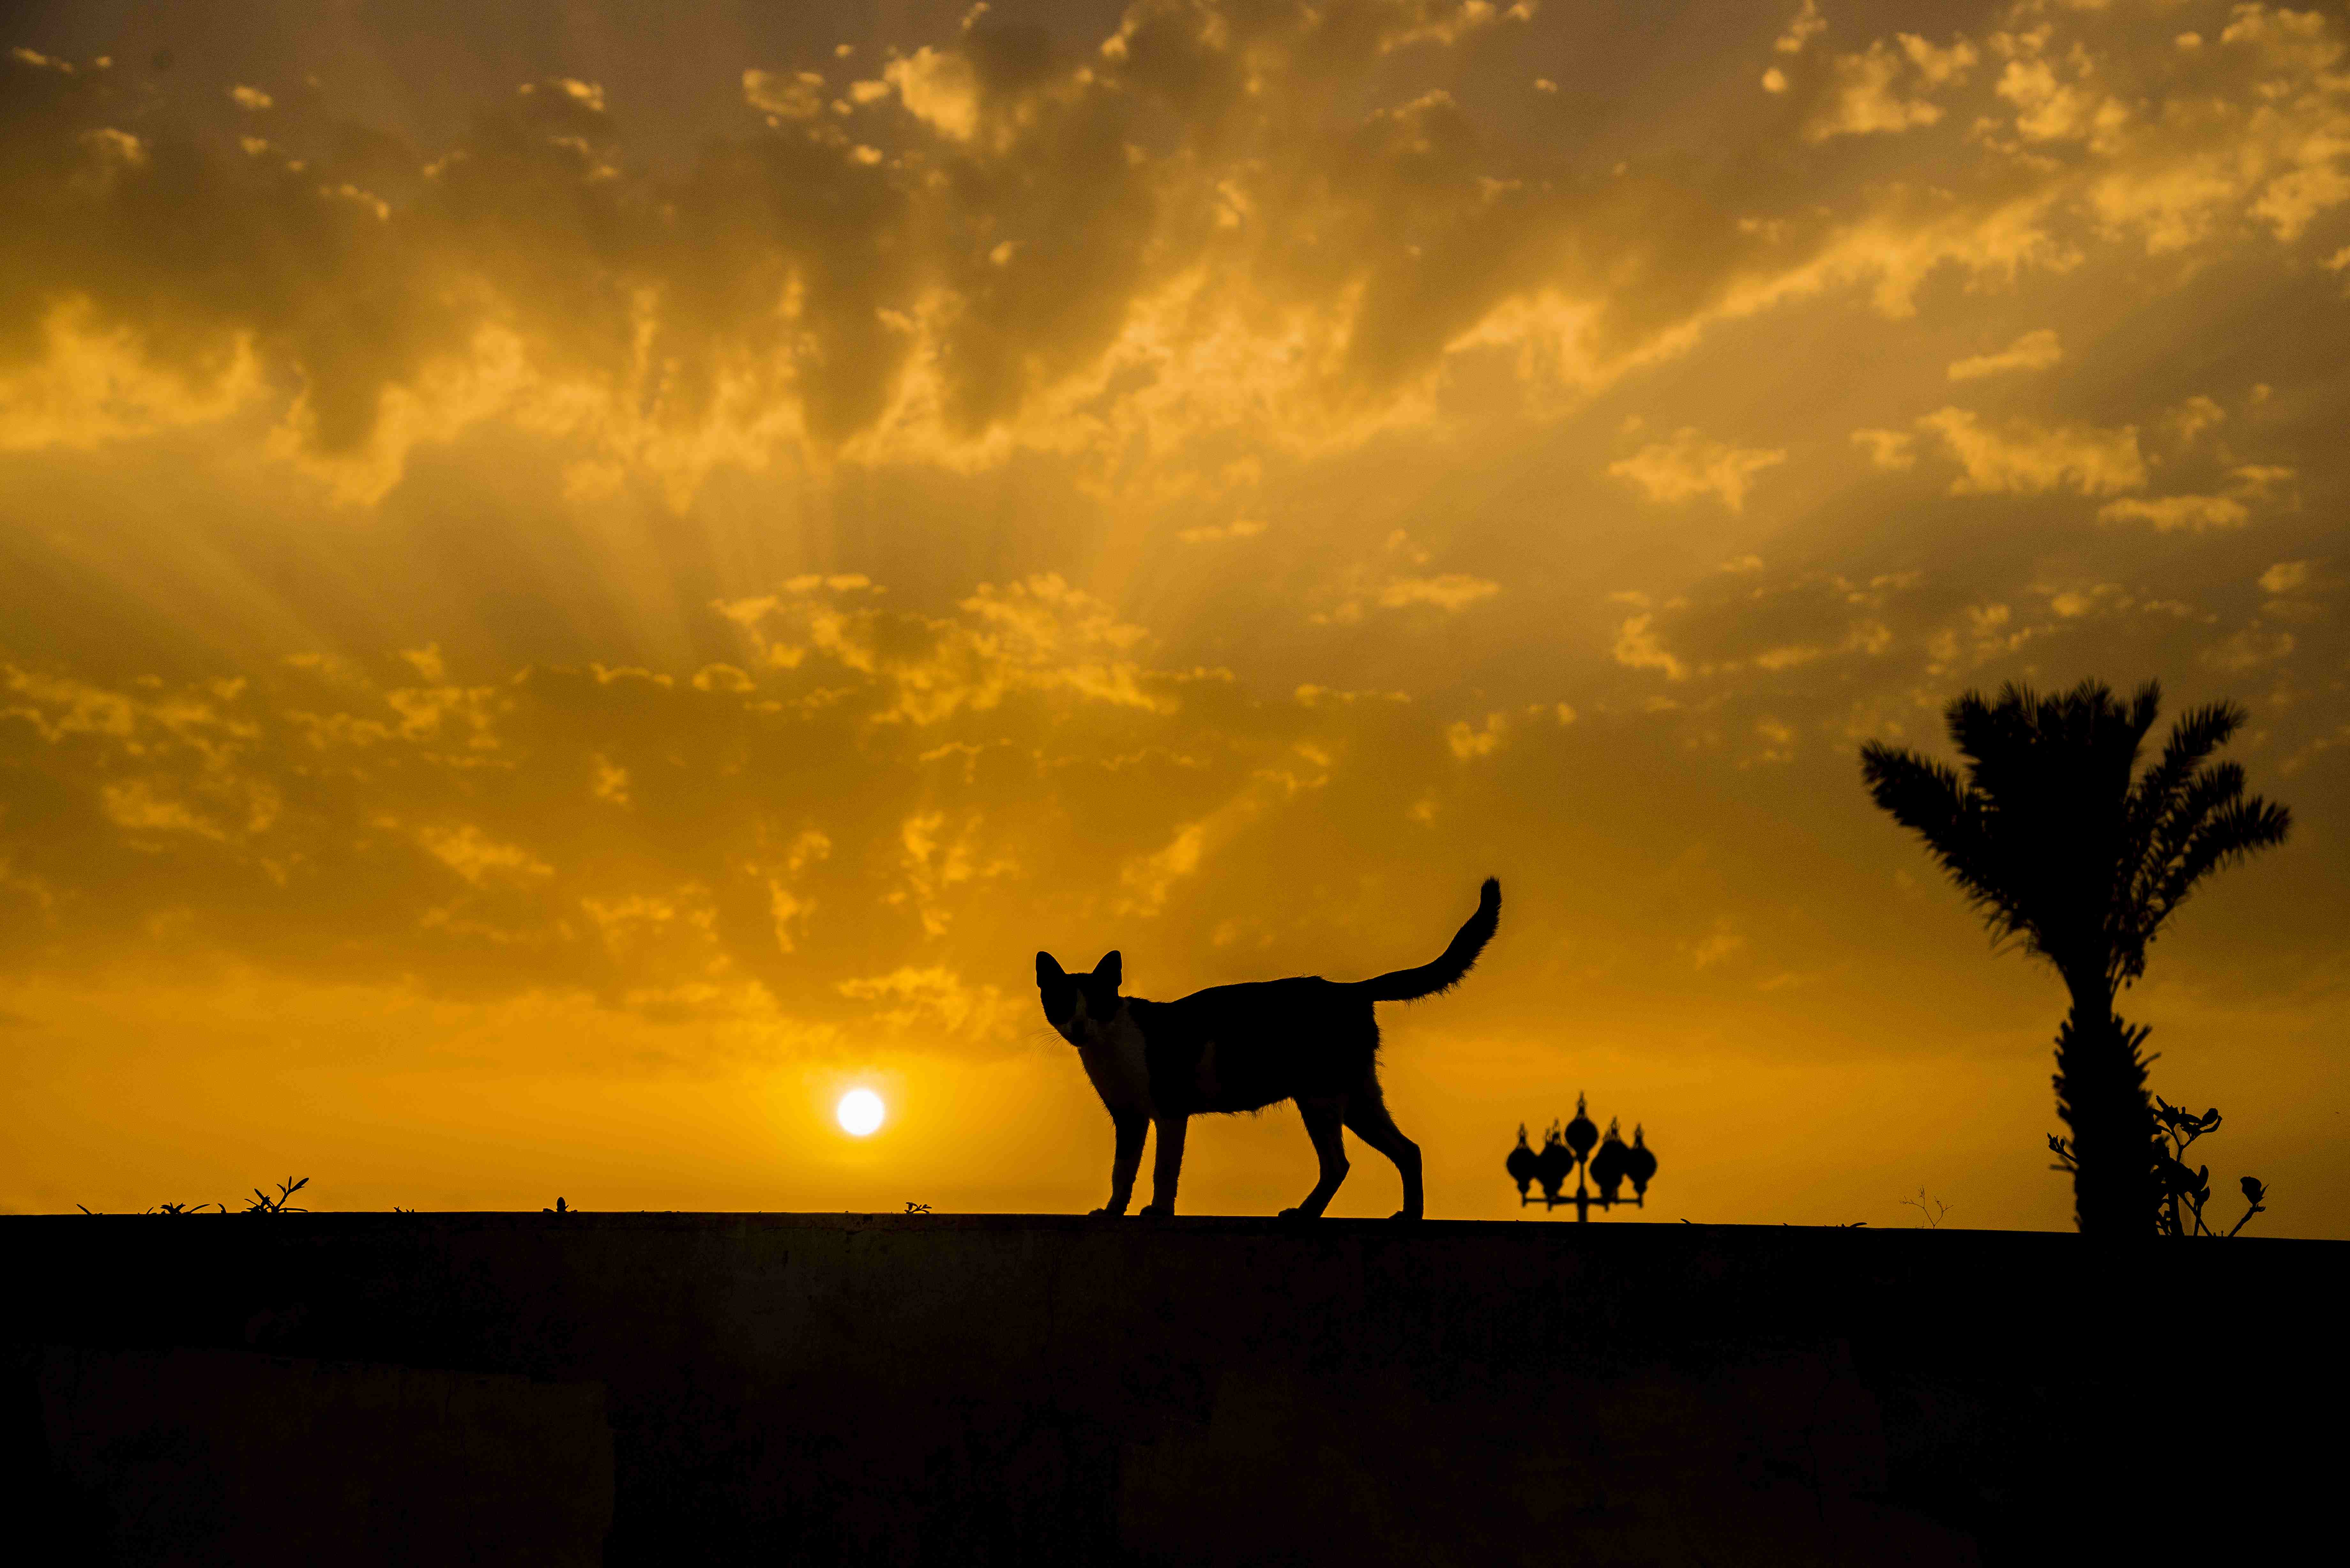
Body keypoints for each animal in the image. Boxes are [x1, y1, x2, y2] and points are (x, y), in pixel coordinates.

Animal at [1034, 879, 1504, 1222]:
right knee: (1408, 1150)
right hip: (1355, 1098)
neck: (1108, 1047)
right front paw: (1112, 1212)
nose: (1079, 1026)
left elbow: (1163, 1170)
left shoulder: (1169, 1111)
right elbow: (1122, 1172)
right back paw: (1408, 1217)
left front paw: (1159, 1213)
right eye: (1063, 1004)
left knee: (1339, 1163)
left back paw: (1307, 1214)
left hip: (1320, 1097)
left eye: (1096, 1004)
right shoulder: (1129, 1119)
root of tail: (1350, 989)